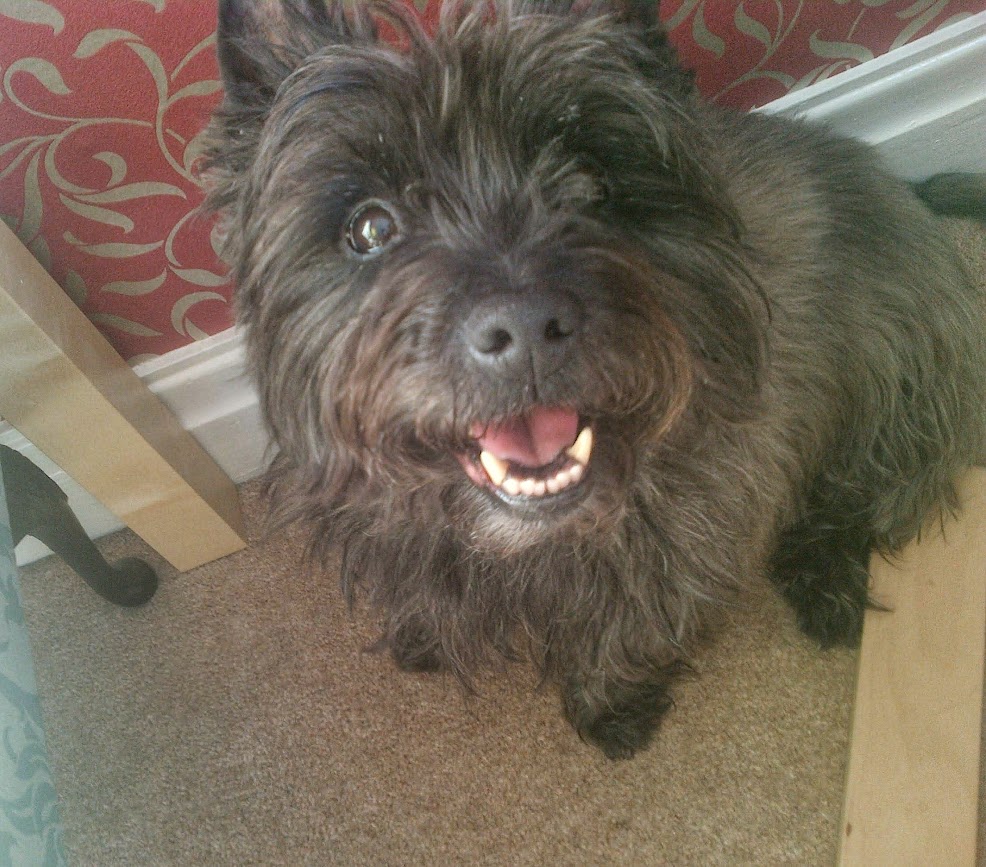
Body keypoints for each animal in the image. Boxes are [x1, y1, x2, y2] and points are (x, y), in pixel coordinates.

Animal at [202, 0, 984, 756]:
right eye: (369, 227)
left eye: (590, 180)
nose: (525, 329)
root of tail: (907, 192)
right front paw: (424, 635)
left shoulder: (693, 524)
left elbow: (629, 625)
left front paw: (613, 706)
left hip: (896, 391)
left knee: (866, 495)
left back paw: (825, 579)